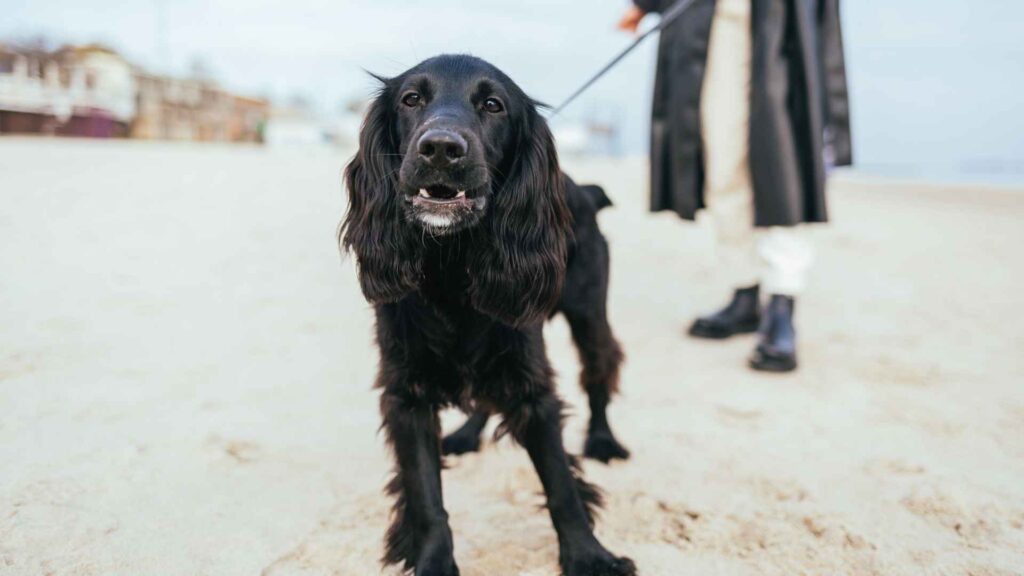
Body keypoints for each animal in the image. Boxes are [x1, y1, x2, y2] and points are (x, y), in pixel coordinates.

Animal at [342, 54, 630, 573]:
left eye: (493, 105)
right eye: (411, 99)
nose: (440, 148)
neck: (451, 268)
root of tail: (584, 188)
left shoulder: (532, 385)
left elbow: (561, 484)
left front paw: (588, 556)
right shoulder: (405, 393)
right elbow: (425, 495)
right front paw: (433, 561)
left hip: (589, 314)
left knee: (599, 371)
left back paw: (602, 440)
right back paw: (466, 435)